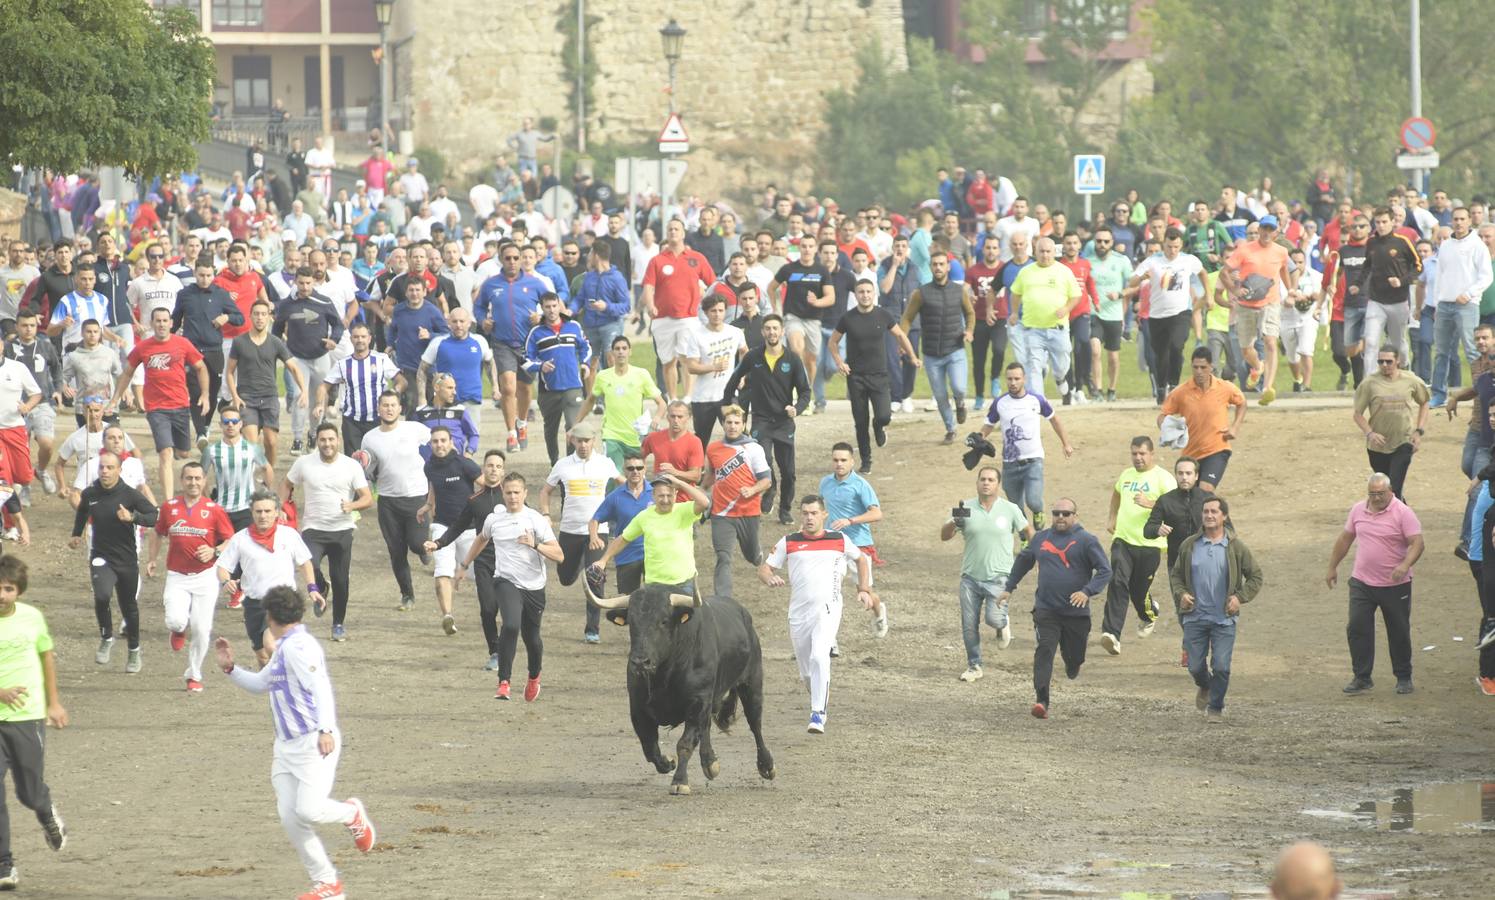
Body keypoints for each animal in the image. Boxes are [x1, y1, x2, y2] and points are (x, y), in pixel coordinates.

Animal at [589, 583, 777, 789]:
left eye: (664, 621)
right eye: (631, 621)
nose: (640, 662)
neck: (664, 676)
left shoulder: (697, 703)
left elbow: (685, 744)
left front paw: (680, 782)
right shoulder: (638, 708)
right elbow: (649, 747)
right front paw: (667, 763)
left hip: (752, 683)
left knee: (755, 723)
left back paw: (766, 766)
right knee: (708, 725)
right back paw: (710, 763)